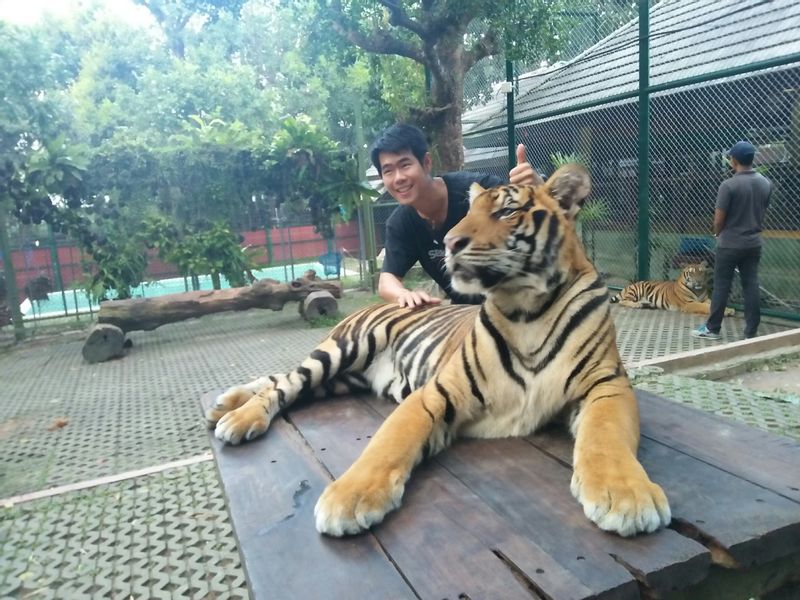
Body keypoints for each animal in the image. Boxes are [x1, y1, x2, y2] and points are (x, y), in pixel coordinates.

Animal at [206, 165, 668, 540]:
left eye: (505, 212)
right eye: (468, 211)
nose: (449, 241)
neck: (527, 310)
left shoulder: (605, 385)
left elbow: (606, 437)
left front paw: (627, 496)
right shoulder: (436, 392)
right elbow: (388, 442)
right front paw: (348, 498)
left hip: (341, 380)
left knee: (285, 382)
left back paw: (225, 404)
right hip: (343, 350)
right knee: (284, 383)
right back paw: (237, 418)